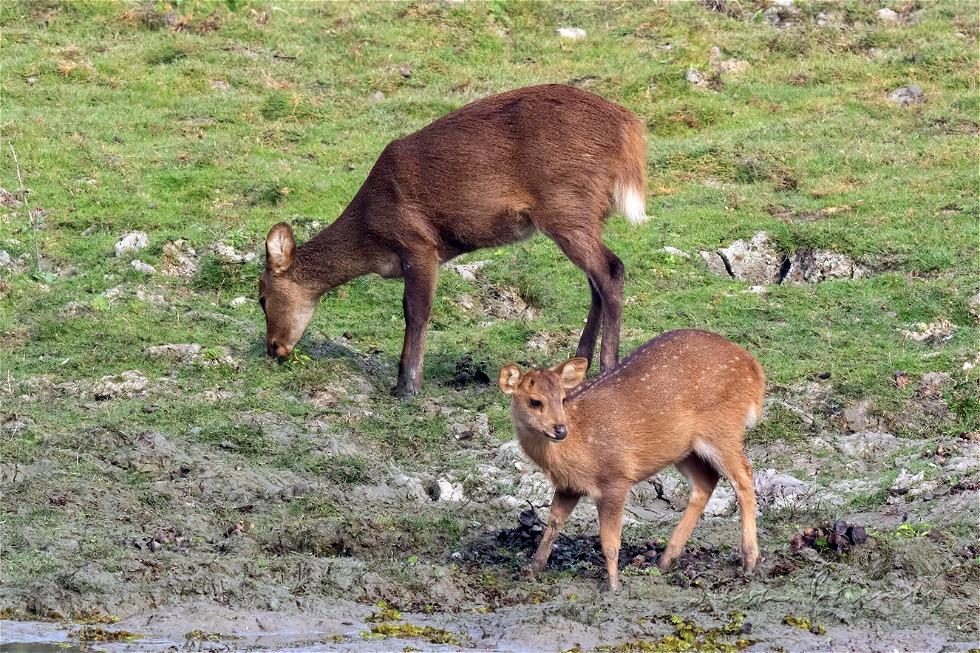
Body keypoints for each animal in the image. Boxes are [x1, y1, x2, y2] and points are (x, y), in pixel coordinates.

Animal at [258, 84, 648, 397]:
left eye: (262, 297)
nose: (274, 349)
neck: (372, 234)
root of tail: (629, 130)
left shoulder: (418, 243)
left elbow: (416, 311)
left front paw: (407, 386)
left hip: (567, 207)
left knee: (612, 270)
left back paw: (607, 367)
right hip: (584, 215)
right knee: (596, 283)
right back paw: (577, 366)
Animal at [498, 329, 765, 591]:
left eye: (562, 398)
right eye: (535, 401)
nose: (560, 430)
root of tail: (755, 370)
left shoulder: (615, 478)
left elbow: (610, 541)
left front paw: (613, 586)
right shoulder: (568, 486)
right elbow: (553, 525)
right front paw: (532, 570)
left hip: (723, 429)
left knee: (744, 476)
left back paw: (749, 562)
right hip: (682, 447)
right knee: (705, 484)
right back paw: (666, 560)